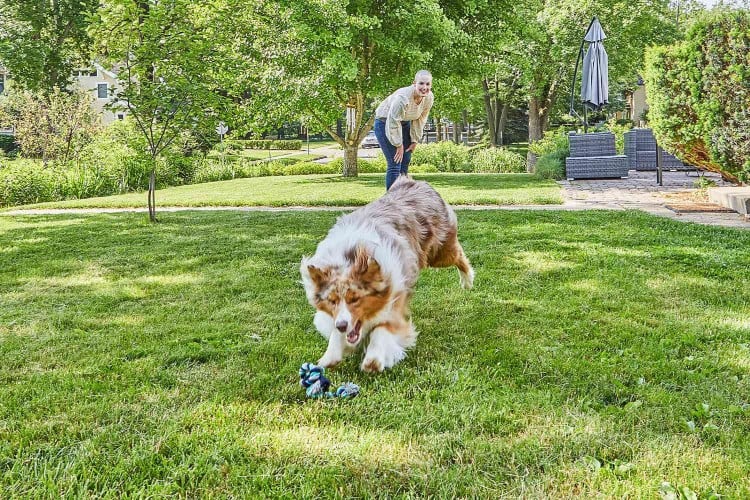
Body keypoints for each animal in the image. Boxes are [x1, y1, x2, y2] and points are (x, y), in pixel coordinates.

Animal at [300, 176, 476, 372]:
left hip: (439, 253)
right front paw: (330, 356)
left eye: (356, 299)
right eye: (331, 301)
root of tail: (416, 181)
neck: (352, 256)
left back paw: (468, 281)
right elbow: (336, 333)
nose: (342, 326)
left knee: (459, 256)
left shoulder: (396, 299)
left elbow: (382, 330)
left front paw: (374, 359)